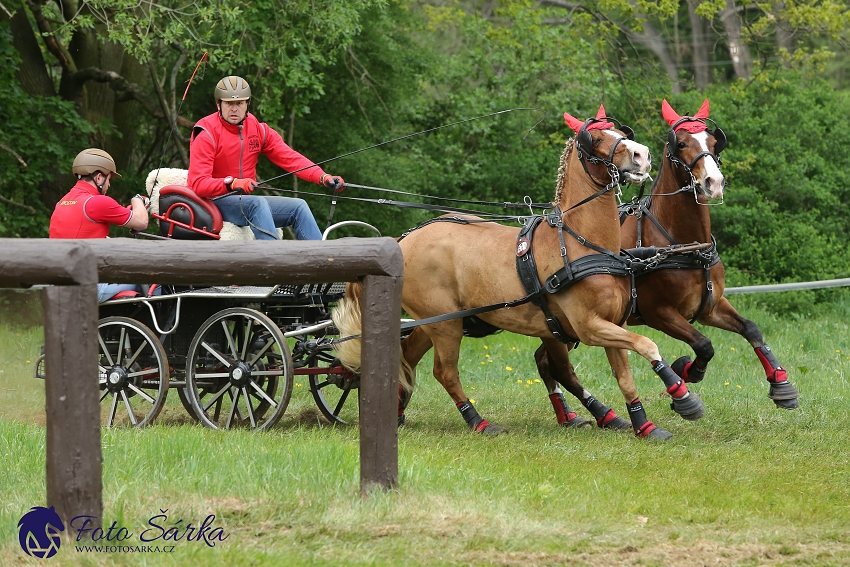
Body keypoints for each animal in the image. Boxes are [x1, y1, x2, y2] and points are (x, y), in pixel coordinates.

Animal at [334, 105, 704, 440]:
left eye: (620, 132)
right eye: (596, 138)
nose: (642, 155)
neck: (582, 244)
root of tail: (404, 239)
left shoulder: (613, 323)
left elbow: (625, 376)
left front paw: (644, 425)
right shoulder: (589, 327)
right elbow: (647, 344)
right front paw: (682, 394)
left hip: (435, 322)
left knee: (407, 358)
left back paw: (397, 412)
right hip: (445, 326)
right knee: (445, 373)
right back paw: (478, 422)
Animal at [532, 100, 800, 426]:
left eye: (713, 142)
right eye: (681, 143)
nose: (714, 182)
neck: (684, 244)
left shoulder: (709, 306)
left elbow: (751, 329)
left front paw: (781, 384)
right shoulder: (659, 313)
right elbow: (704, 345)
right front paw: (687, 373)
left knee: (543, 361)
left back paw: (570, 415)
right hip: (564, 325)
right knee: (556, 366)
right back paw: (597, 415)